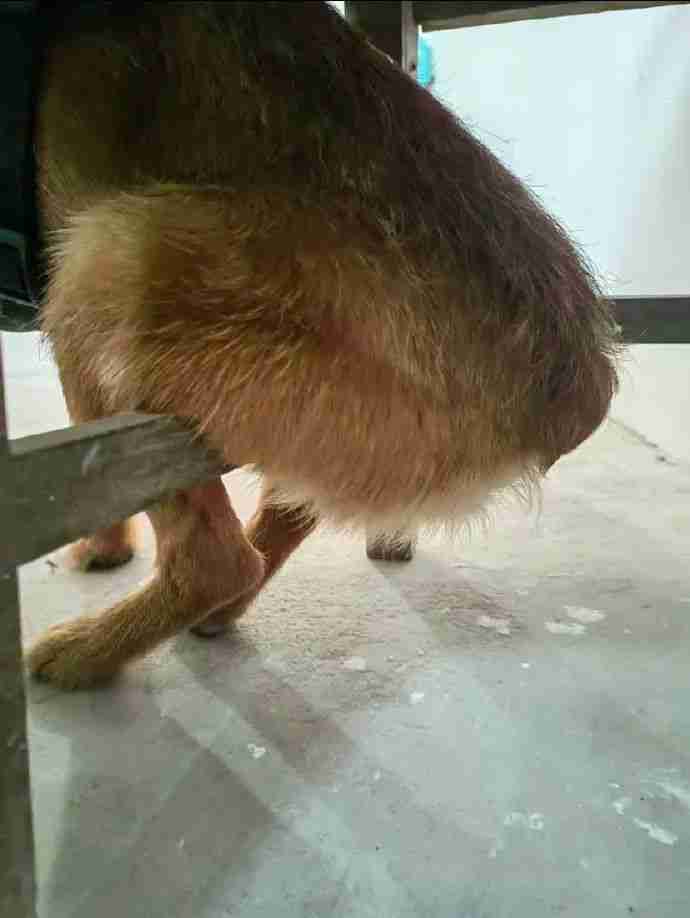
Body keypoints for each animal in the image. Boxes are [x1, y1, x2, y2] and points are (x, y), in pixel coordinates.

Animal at [27, 1, 619, 688]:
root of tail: (577, 381)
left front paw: (102, 548)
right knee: (283, 518)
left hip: (102, 257)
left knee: (216, 560)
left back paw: (86, 652)